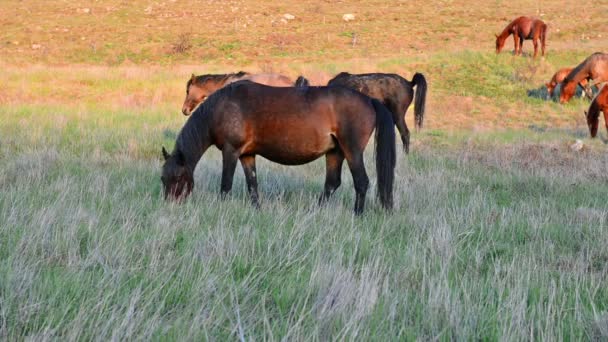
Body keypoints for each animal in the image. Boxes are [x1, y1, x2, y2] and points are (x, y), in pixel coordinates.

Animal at [163, 81, 400, 214]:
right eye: (163, 179)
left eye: (178, 177)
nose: (170, 206)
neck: (223, 107)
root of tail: (369, 100)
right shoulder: (247, 155)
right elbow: (252, 185)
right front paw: (257, 210)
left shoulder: (230, 151)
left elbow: (226, 186)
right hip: (335, 152)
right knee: (332, 184)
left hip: (352, 151)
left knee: (361, 182)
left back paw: (357, 215)